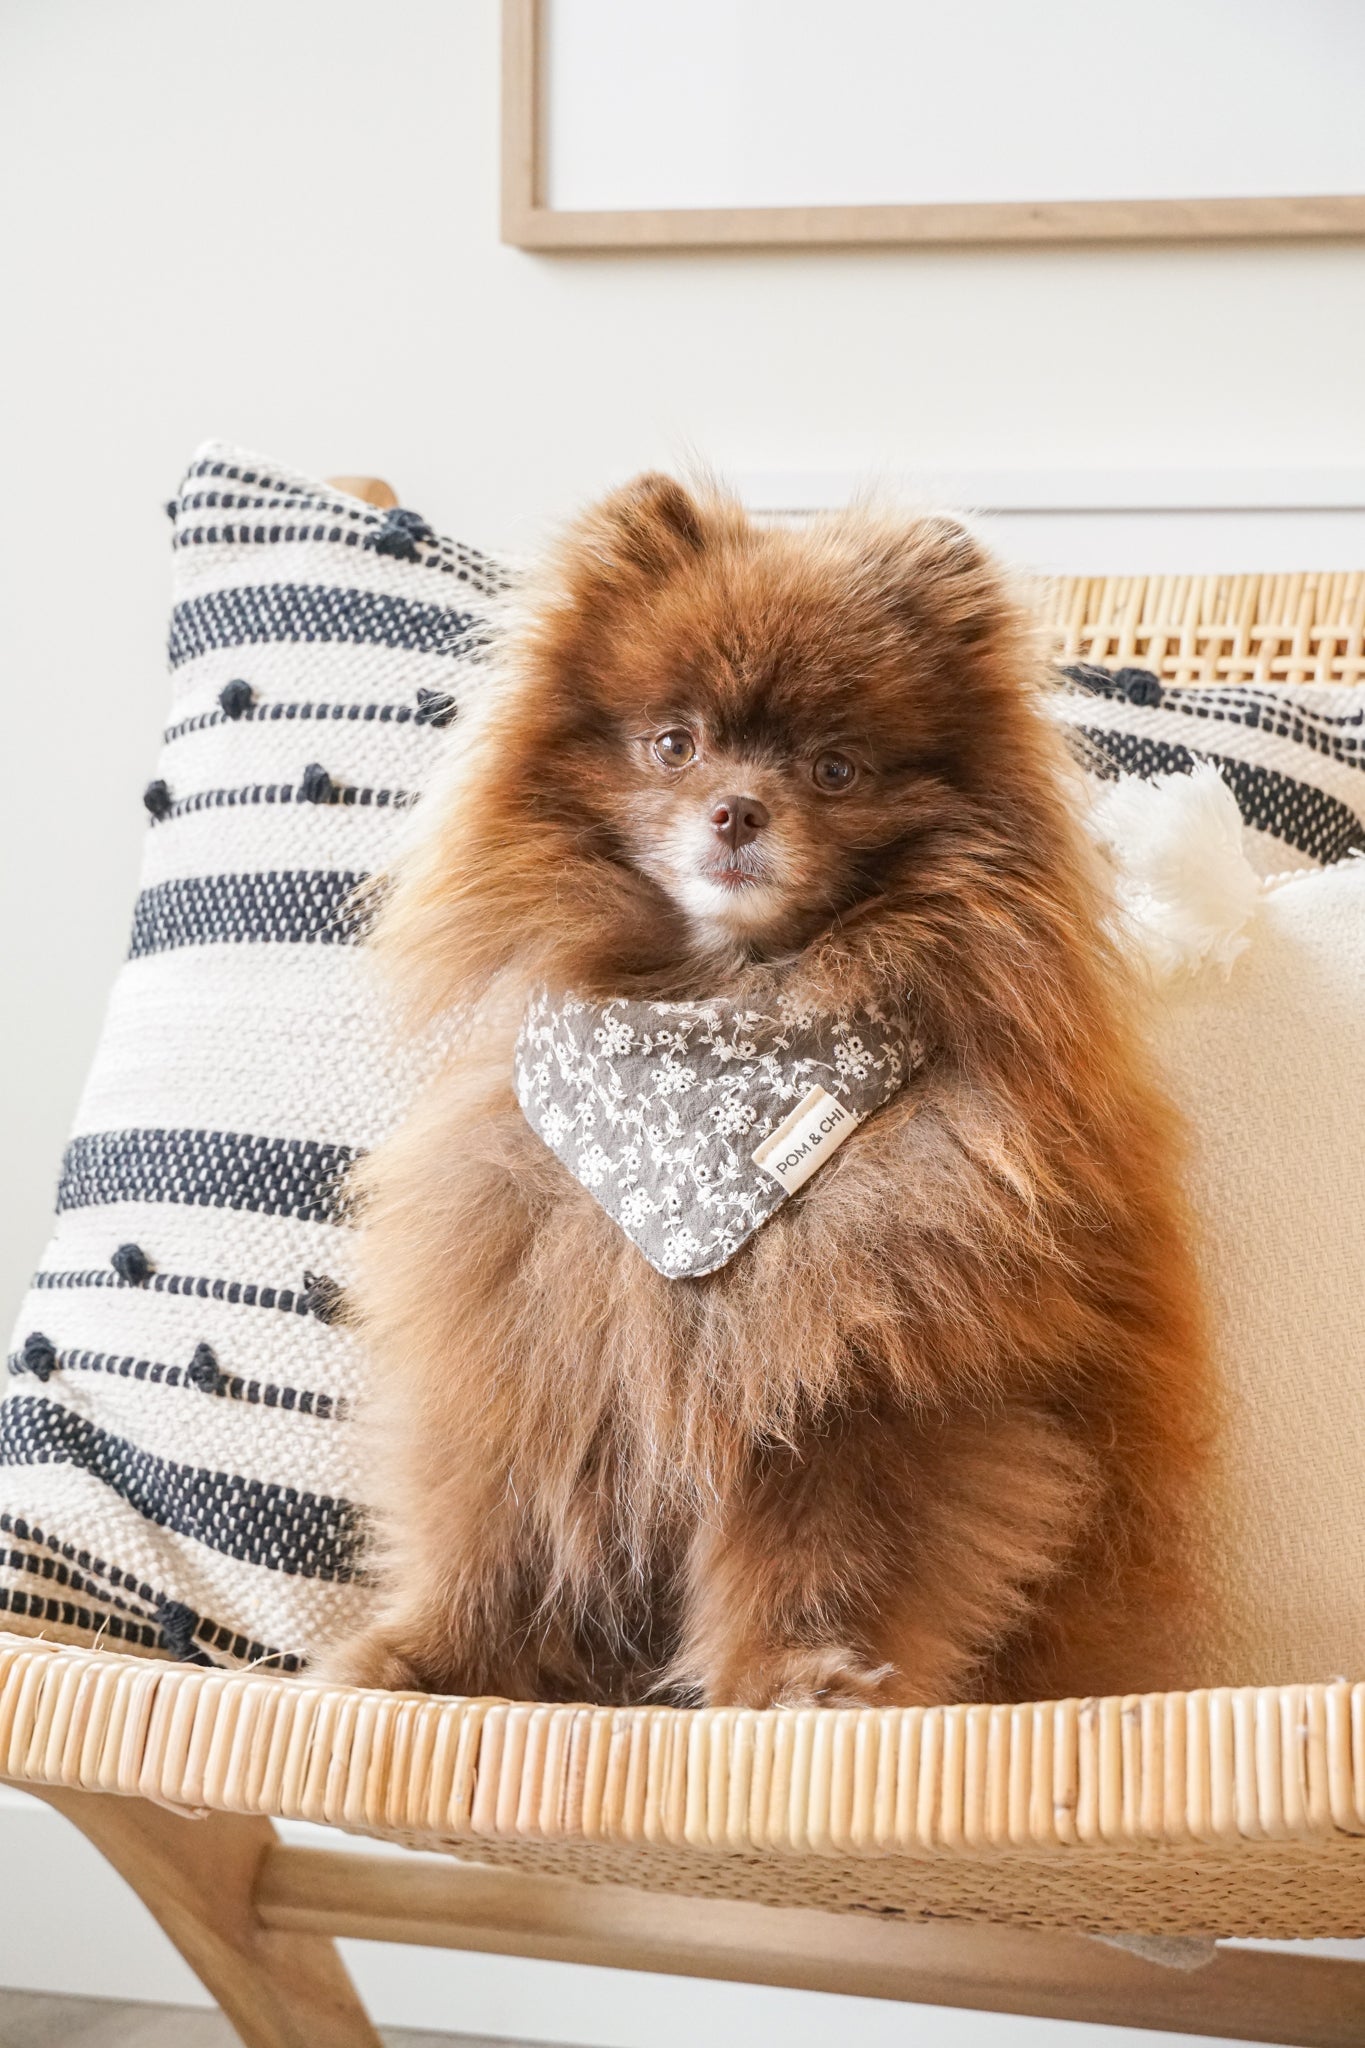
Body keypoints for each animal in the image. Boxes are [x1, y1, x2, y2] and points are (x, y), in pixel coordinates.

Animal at [325, 479, 1211, 1712]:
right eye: (673, 744)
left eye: (834, 769)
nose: (738, 809)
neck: (718, 1030)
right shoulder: (541, 1328)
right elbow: (506, 1522)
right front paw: (439, 1658)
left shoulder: (868, 1393)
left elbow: (826, 1553)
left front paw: (802, 1682)